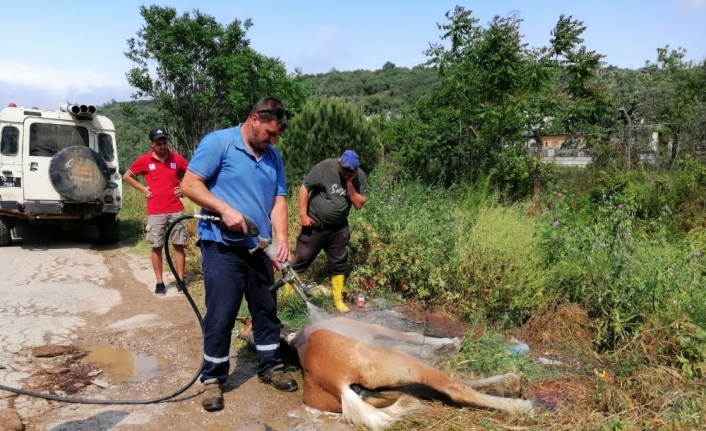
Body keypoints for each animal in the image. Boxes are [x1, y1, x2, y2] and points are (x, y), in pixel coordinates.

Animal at [234, 314, 532, 431]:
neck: (293, 342)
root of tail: (336, 382)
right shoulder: (376, 331)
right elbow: (412, 335)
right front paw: (450, 344)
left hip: (391, 389)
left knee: (445, 389)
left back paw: (510, 384)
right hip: (399, 362)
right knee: (455, 389)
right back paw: (521, 402)